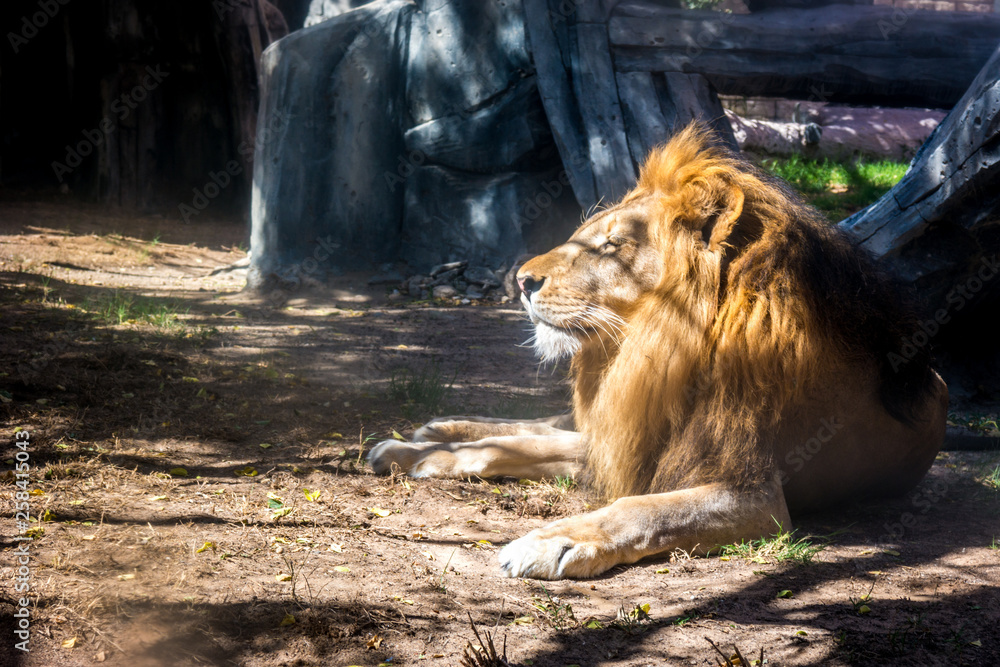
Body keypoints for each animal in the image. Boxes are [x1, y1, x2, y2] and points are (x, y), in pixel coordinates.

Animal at [369, 123, 948, 580]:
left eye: (611, 245)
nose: (522, 281)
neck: (661, 350)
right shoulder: (635, 437)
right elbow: (531, 448)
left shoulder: (755, 496)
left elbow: (640, 508)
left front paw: (553, 540)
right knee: (536, 430)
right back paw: (423, 441)